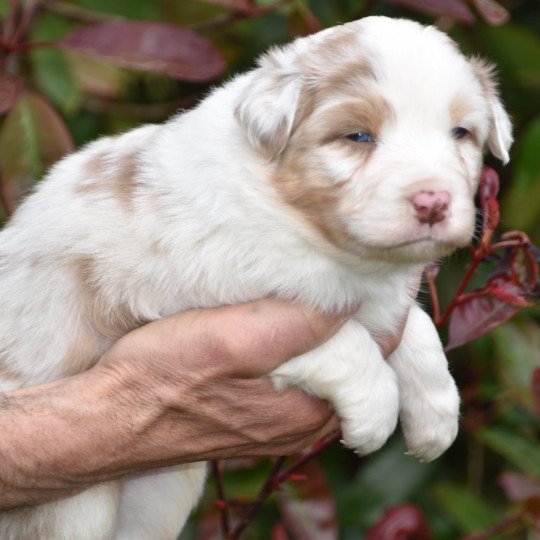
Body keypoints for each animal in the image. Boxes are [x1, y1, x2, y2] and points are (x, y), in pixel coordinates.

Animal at [0, 15, 510, 540]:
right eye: (357, 136)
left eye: (460, 133)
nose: (433, 202)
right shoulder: (182, 300)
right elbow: (341, 340)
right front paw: (376, 407)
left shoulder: (382, 295)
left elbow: (415, 328)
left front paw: (436, 414)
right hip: (76, 508)